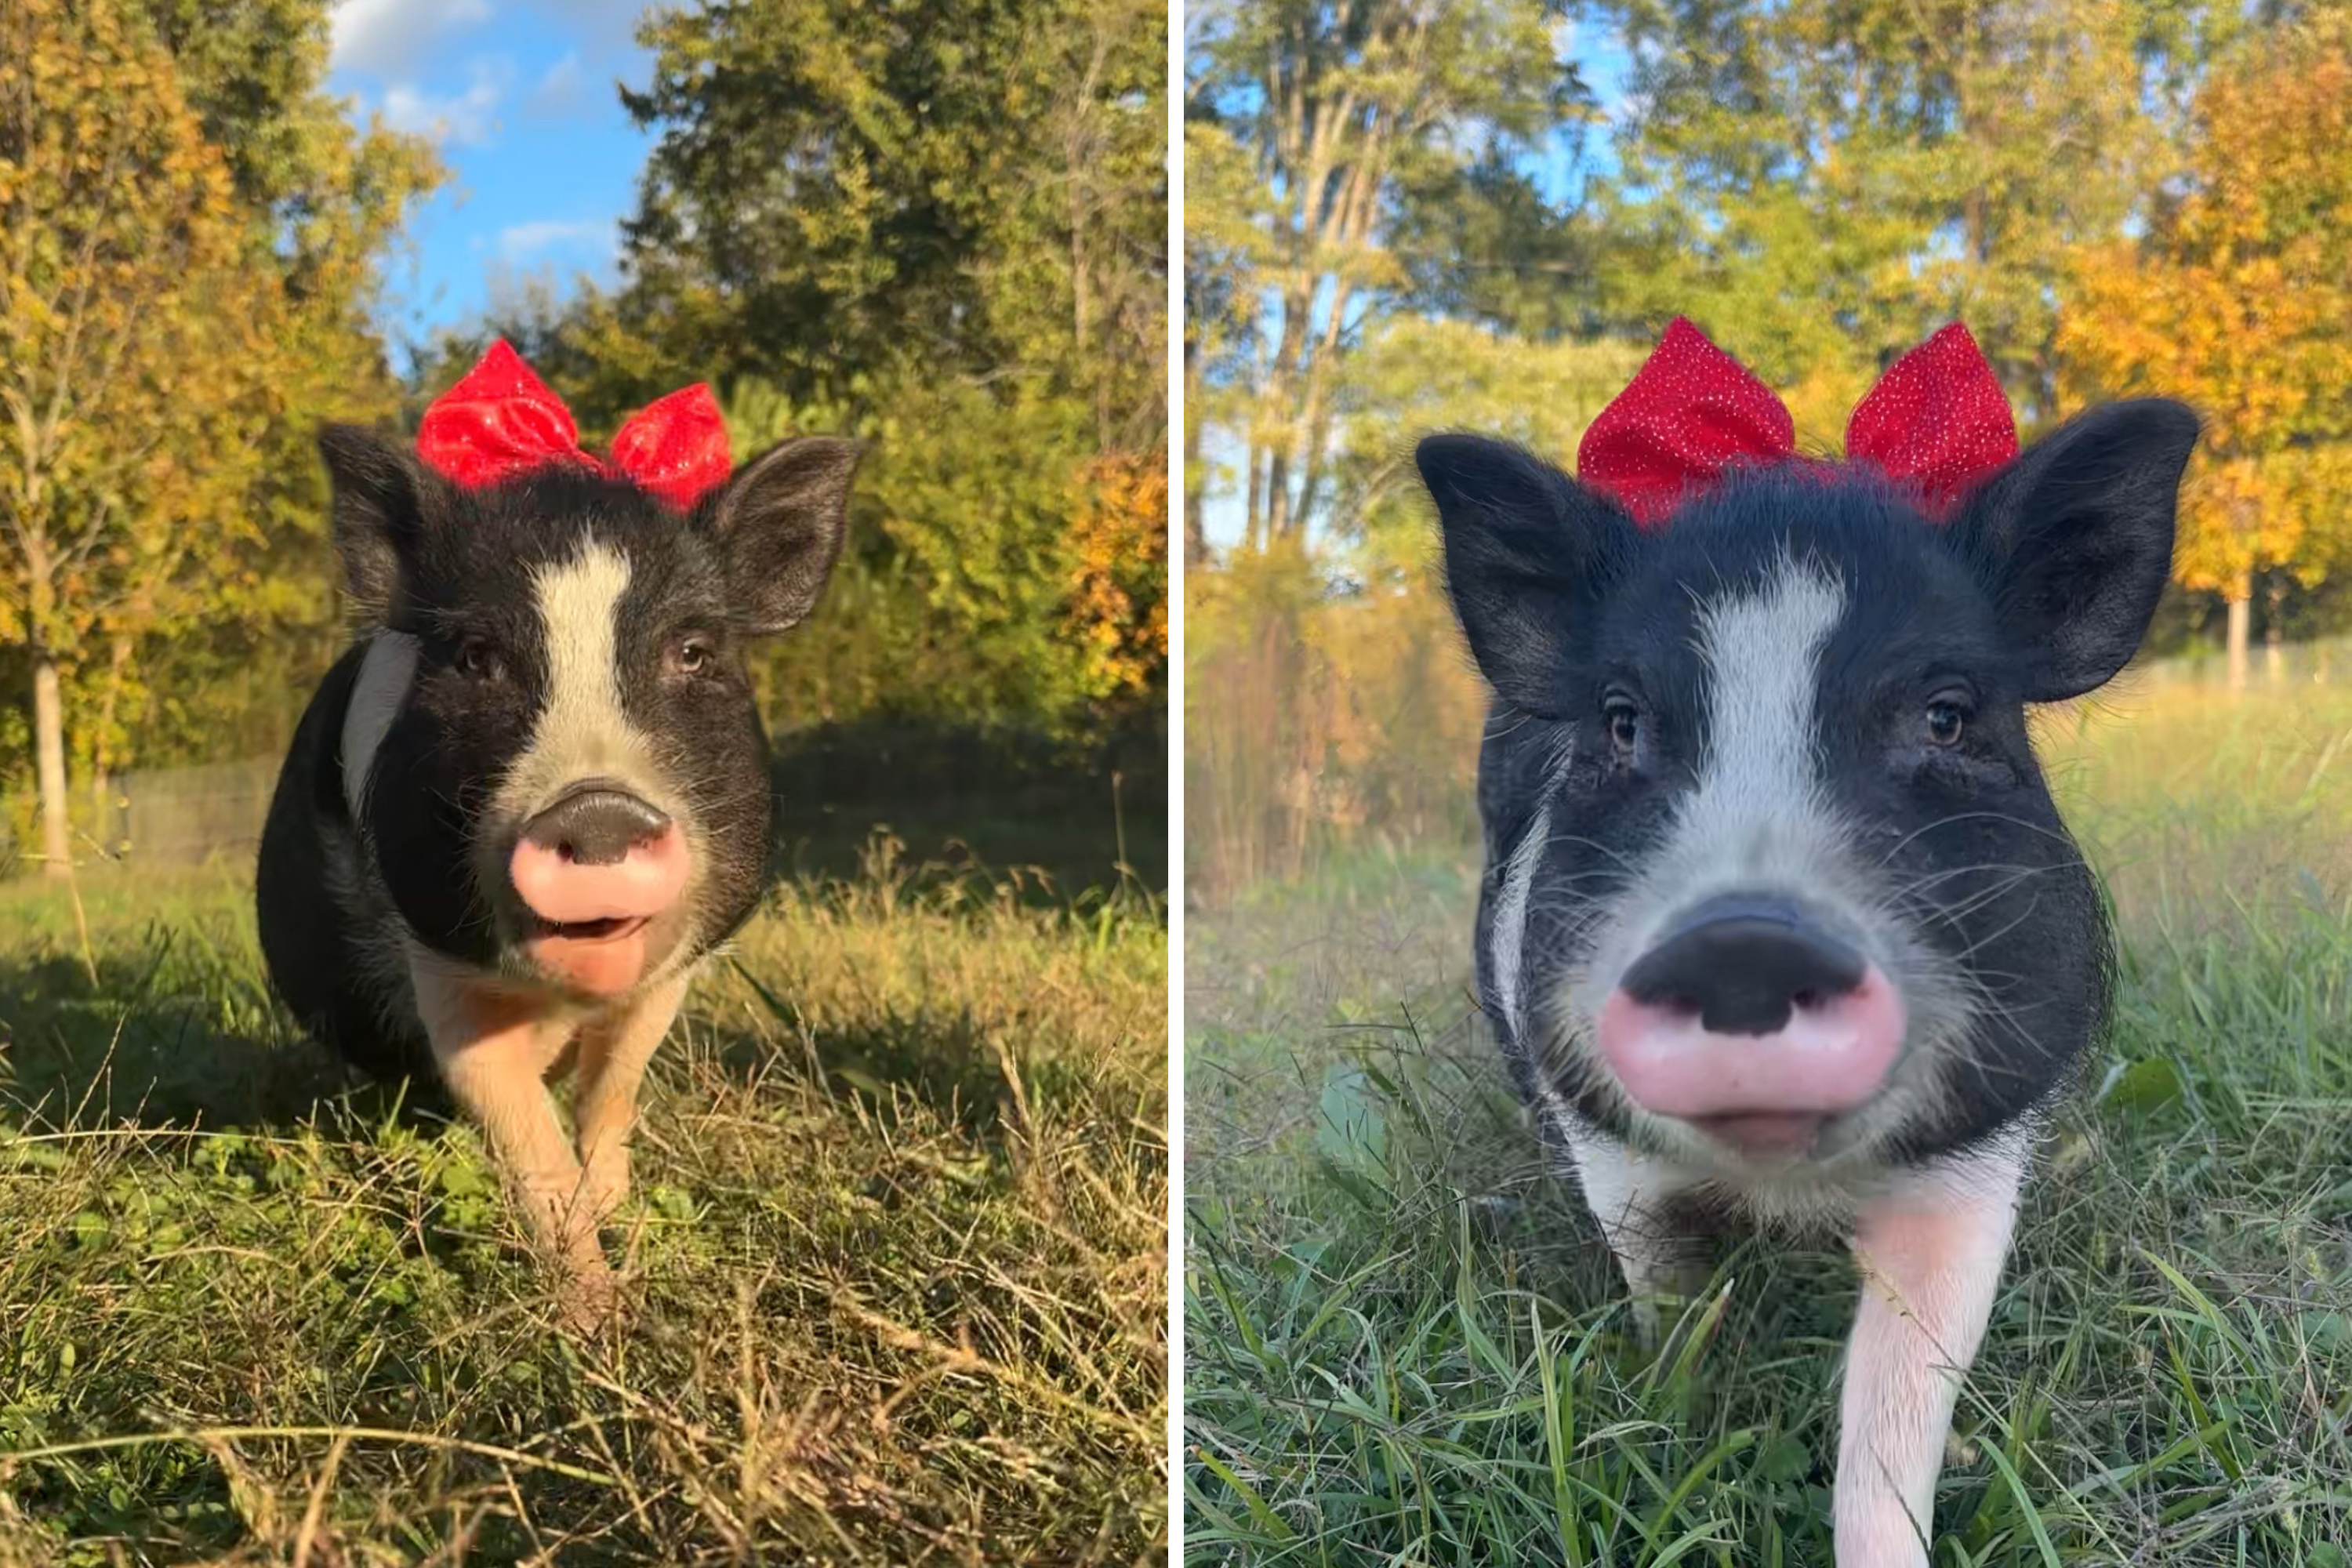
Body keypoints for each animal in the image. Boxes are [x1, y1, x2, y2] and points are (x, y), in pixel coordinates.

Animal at [256, 342, 856, 1328]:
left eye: (694, 650)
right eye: (475, 656)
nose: (597, 809)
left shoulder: (672, 974)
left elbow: (613, 1092)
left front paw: (615, 1209)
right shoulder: (441, 966)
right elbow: (525, 1135)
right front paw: (598, 1319)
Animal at [1415, 319, 2197, 1564]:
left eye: (1948, 715)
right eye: (1622, 722)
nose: (1744, 941)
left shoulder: (1968, 1175)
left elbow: (1898, 1403)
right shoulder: (1609, 1143)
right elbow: (1666, 1296)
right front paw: (1676, 1419)